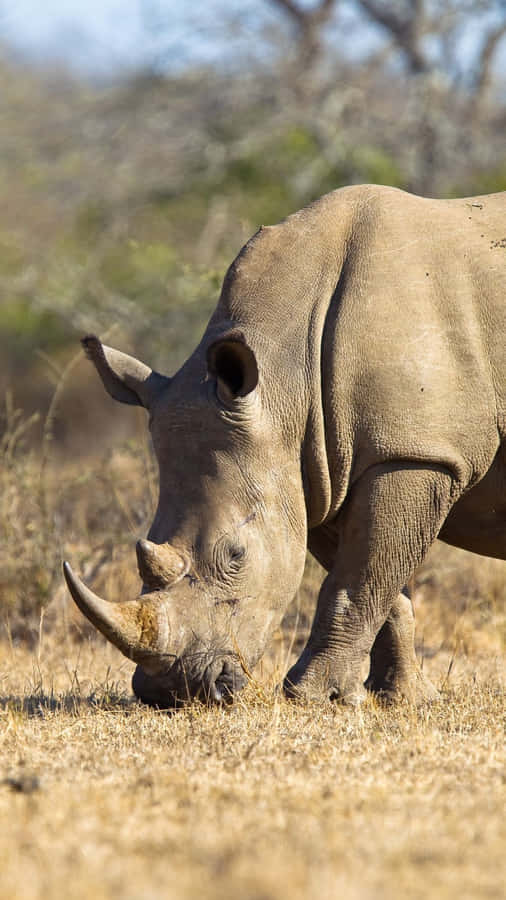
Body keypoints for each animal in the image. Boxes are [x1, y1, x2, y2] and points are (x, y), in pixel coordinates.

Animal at [63, 184, 506, 707]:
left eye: (235, 555)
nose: (173, 692)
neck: (287, 375)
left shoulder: (414, 453)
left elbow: (360, 580)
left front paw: (311, 696)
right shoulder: (320, 469)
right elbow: (376, 581)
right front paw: (400, 699)